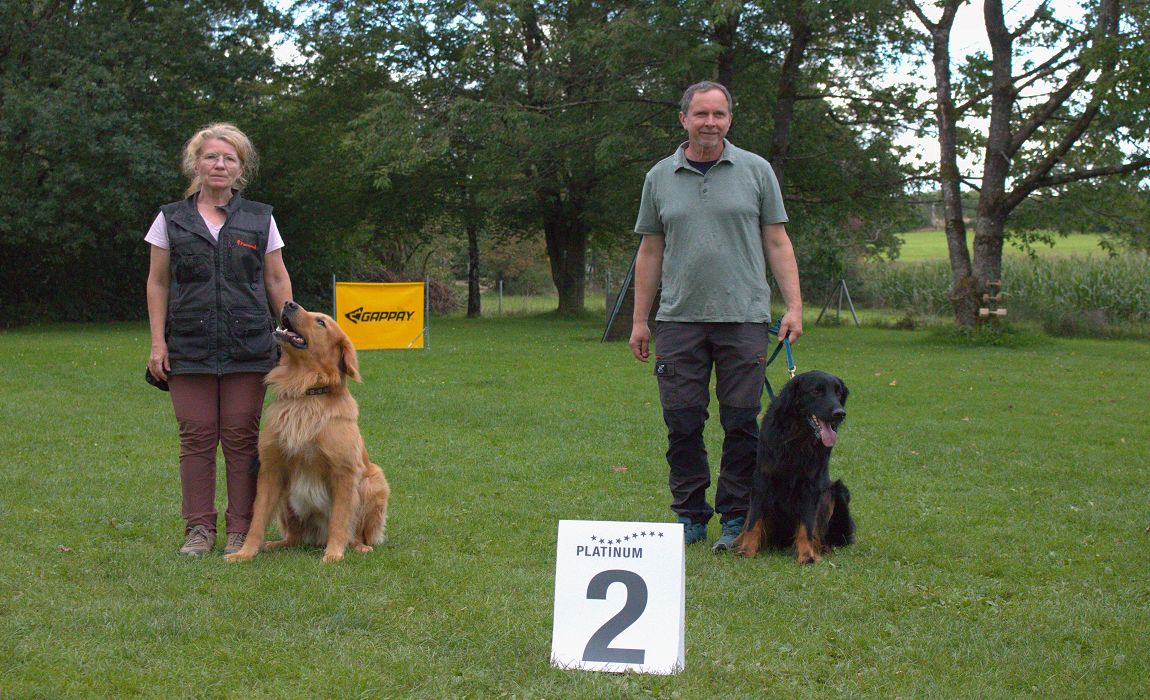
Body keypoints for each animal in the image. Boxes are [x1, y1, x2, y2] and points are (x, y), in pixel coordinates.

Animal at [224, 301, 391, 563]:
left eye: (321, 322)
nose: (289, 303)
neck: (305, 392)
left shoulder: (344, 472)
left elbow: (340, 520)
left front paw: (334, 554)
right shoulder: (271, 469)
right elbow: (257, 520)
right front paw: (244, 553)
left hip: (373, 482)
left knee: (355, 533)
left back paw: (358, 547)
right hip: (286, 499)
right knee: (294, 537)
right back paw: (275, 544)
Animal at [736, 372, 855, 563]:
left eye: (838, 392)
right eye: (816, 391)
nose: (840, 414)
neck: (798, 439)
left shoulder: (812, 485)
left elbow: (807, 524)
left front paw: (807, 555)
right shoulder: (762, 480)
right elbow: (753, 520)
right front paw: (746, 551)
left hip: (837, 491)